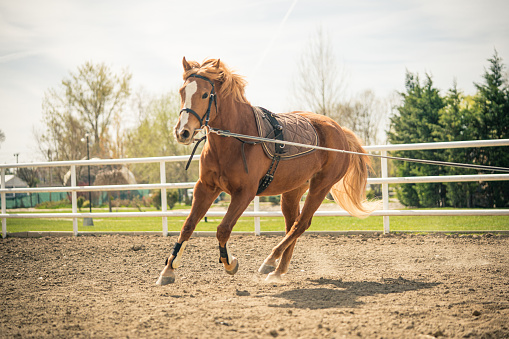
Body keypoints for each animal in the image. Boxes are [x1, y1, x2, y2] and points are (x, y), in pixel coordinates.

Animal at [155, 57, 378, 286]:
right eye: (182, 92)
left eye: (205, 94)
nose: (183, 132)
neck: (238, 138)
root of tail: (340, 131)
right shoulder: (206, 187)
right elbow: (188, 226)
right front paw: (168, 270)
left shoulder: (244, 193)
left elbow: (223, 229)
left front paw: (230, 263)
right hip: (292, 191)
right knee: (293, 225)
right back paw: (278, 271)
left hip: (320, 187)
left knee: (300, 224)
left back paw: (270, 261)